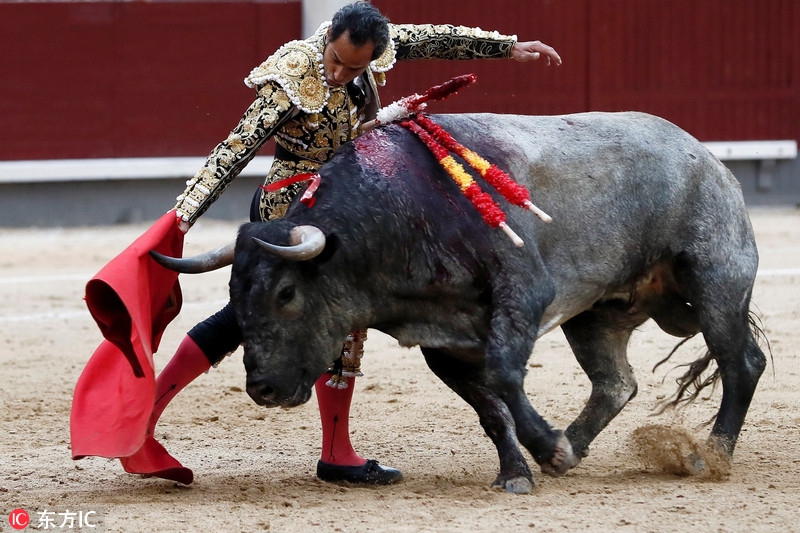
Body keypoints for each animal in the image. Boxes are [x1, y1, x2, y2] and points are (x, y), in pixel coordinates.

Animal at [155, 113, 764, 494]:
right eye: (234, 294)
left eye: (286, 293)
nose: (262, 389)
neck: (401, 214)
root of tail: (709, 159)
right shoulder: (441, 342)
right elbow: (490, 409)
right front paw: (521, 469)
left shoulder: (524, 291)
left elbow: (502, 374)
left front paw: (545, 450)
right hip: (597, 314)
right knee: (616, 382)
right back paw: (576, 444)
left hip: (717, 279)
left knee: (741, 364)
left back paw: (712, 457)